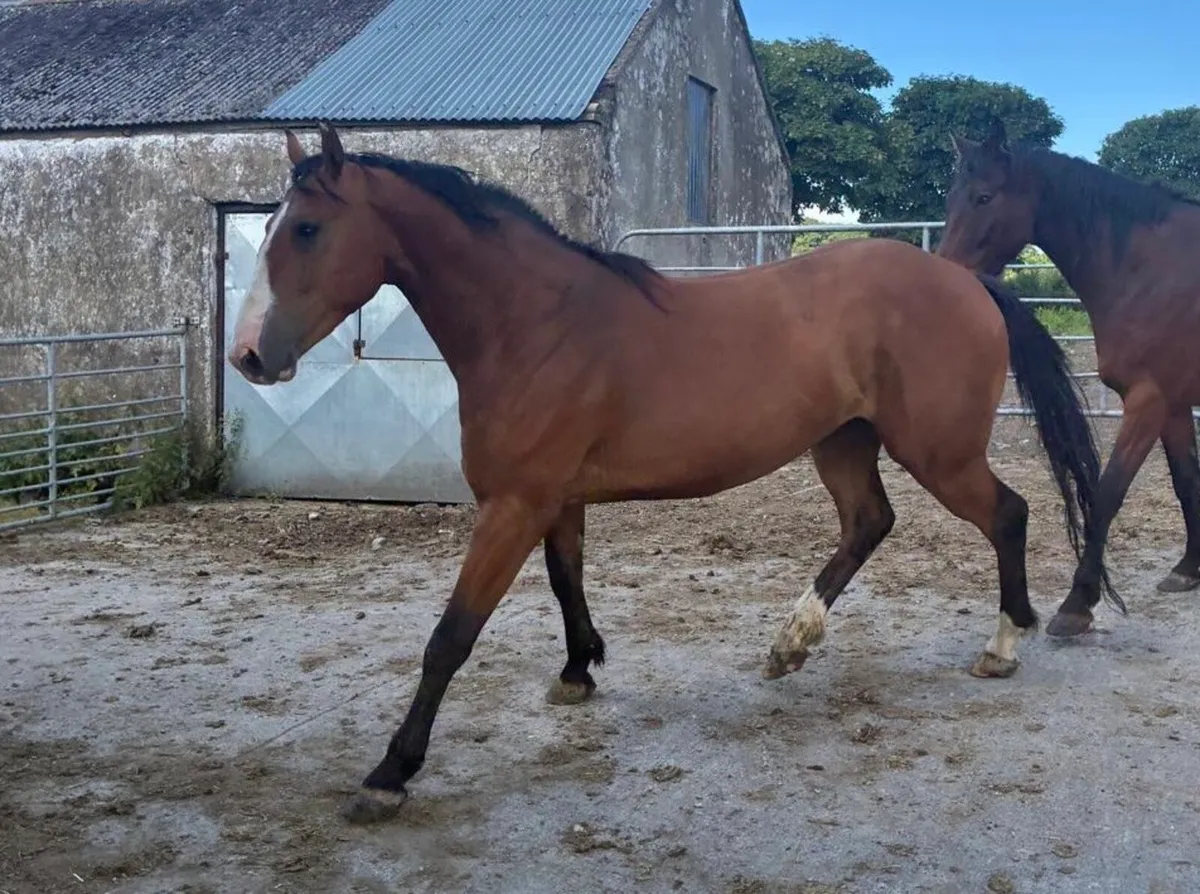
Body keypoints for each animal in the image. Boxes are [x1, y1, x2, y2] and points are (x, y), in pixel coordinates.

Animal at [226, 122, 1107, 824]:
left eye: (306, 229)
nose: (249, 356)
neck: (536, 323)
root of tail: (969, 282)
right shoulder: (555, 500)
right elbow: (567, 581)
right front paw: (578, 672)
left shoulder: (512, 505)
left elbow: (450, 637)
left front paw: (390, 773)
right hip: (844, 442)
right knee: (869, 523)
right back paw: (788, 646)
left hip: (939, 451)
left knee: (1007, 514)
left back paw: (1003, 644)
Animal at [937, 116, 1198, 637]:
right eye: (952, 198)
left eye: (983, 196)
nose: (945, 279)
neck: (1150, 271)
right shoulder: (1175, 404)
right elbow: (1187, 480)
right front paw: (1189, 569)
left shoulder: (1149, 400)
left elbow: (1109, 491)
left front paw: (1078, 602)